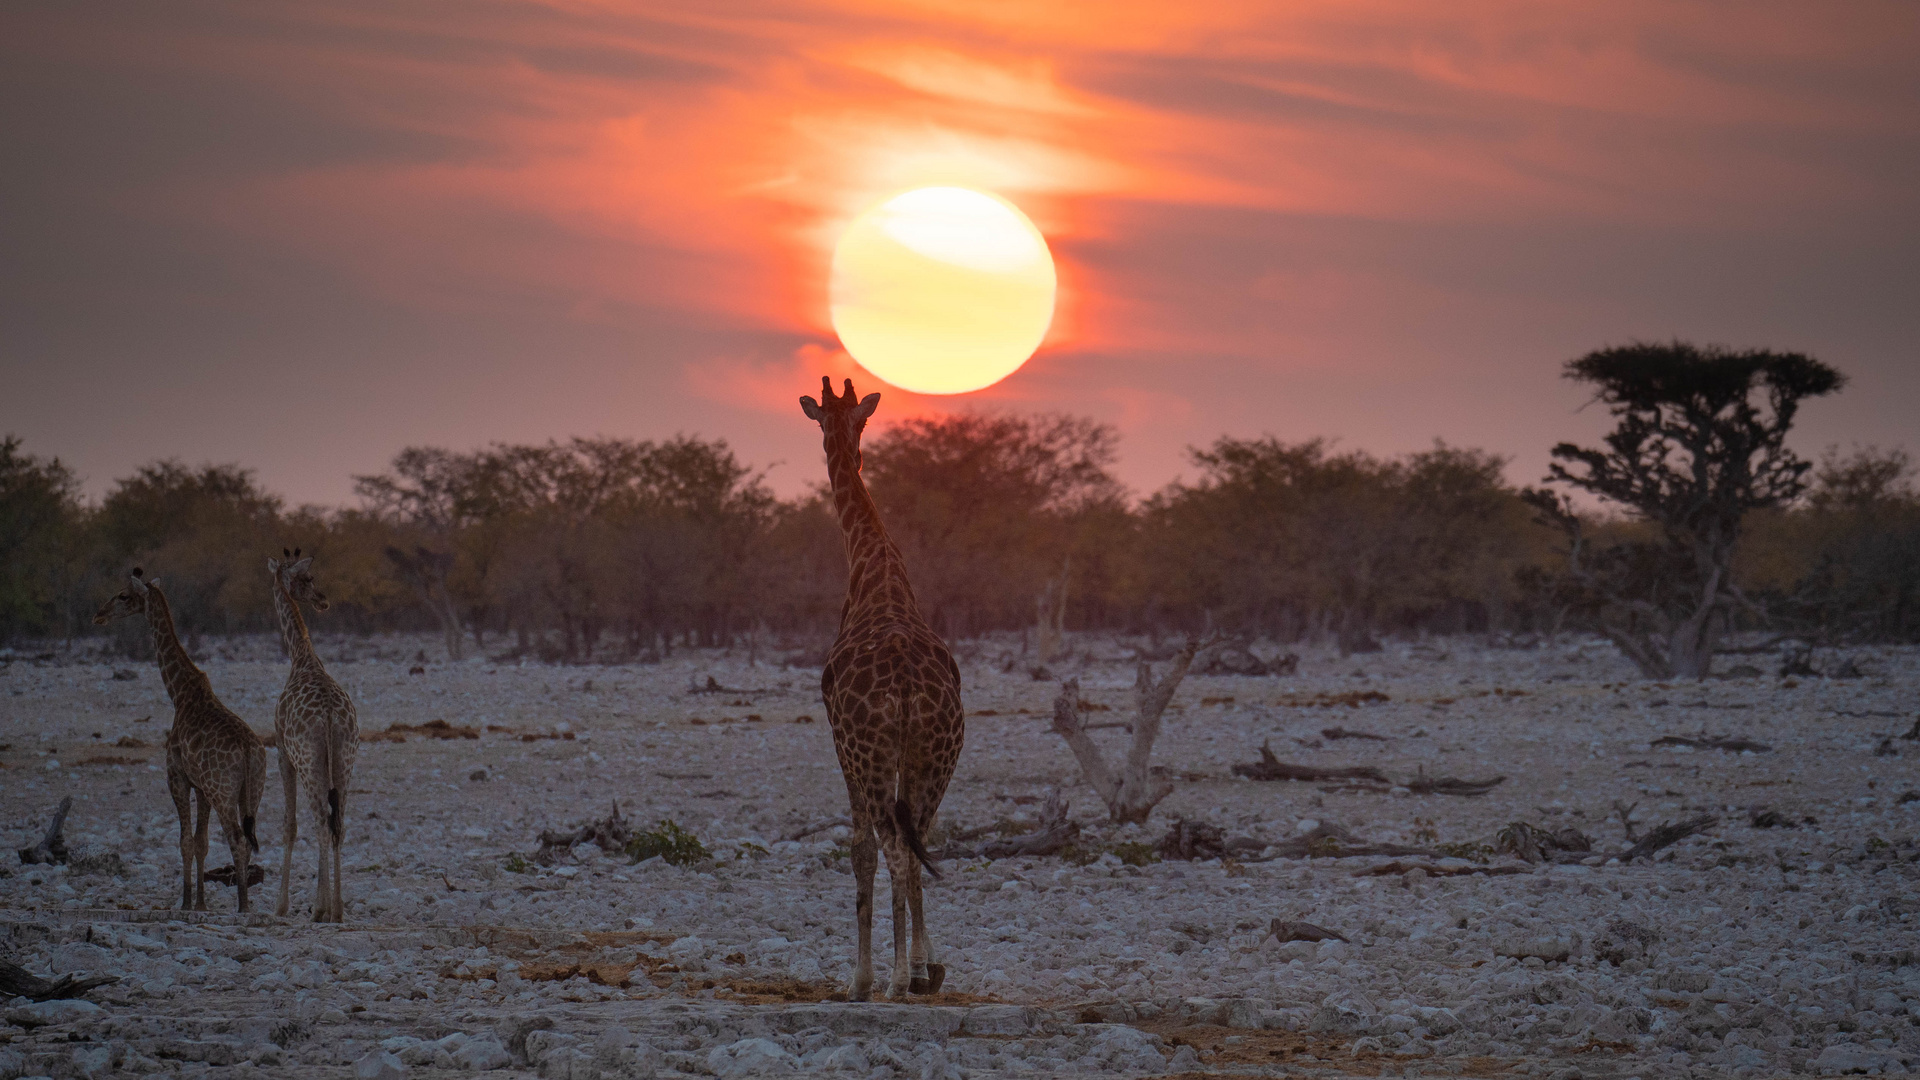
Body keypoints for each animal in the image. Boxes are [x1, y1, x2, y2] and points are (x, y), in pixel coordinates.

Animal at [95, 568, 266, 910]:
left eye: (123, 595)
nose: (99, 615)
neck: (179, 693)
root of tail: (249, 752)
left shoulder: (177, 776)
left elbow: (186, 841)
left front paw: (186, 903)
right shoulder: (200, 786)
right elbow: (201, 842)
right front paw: (200, 904)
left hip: (224, 791)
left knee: (238, 839)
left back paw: (243, 907)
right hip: (251, 791)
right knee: (249, 839)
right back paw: (244, 903)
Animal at [266, 549, 360, 922]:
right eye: (307, 579)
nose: (323, 600)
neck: (301, 656)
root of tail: (331, 717)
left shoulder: (282, 751)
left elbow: (289, 825)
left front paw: (281, 905)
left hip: (310, 763)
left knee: (321, 822)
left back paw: (322, 909)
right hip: (345, 760)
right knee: (339, 826)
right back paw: (337, 909)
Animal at [798, 374, 967, 999]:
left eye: (829, 418)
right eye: (857, 419)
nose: (850, 450)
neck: (875, 568)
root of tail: (906, 691)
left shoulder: (840, 741)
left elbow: (860, 850)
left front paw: (861, 978)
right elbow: (913, 845)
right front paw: (926, 966)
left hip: (871, 752)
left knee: (893, 846)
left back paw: (889, 981)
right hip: (937, 752)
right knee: (920, 839)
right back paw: (918, 971)